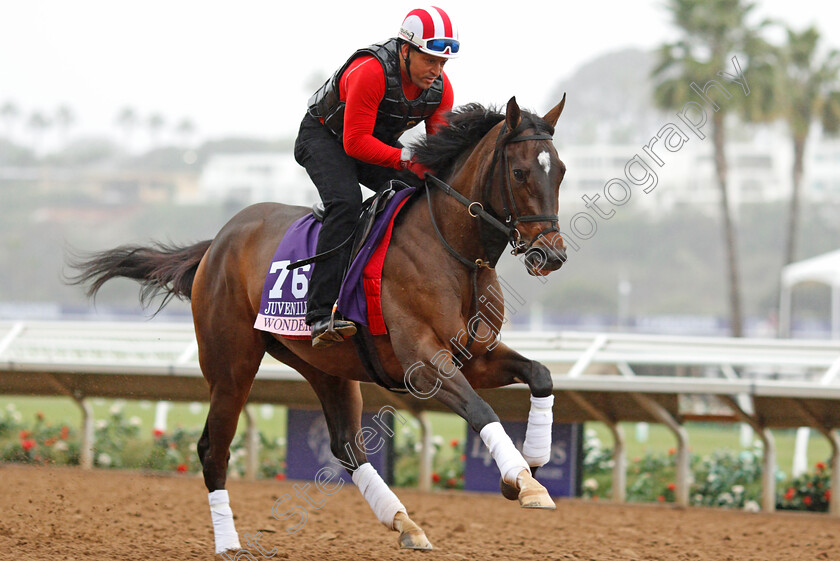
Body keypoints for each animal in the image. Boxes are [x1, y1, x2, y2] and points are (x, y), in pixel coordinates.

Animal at [72, 95, 568, 552]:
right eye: (520, 172)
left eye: (560, 170)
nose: (551, 255)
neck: (451, 250)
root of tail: (217, 242)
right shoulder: (424, 363)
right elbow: (482, 411)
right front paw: (524, 481)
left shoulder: (475, 357)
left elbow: (540, 375)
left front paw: (531, 462)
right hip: (230, 366)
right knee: (214, 448)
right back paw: (229, 542)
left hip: (324, 365)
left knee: (347, 445)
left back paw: (405, 524)